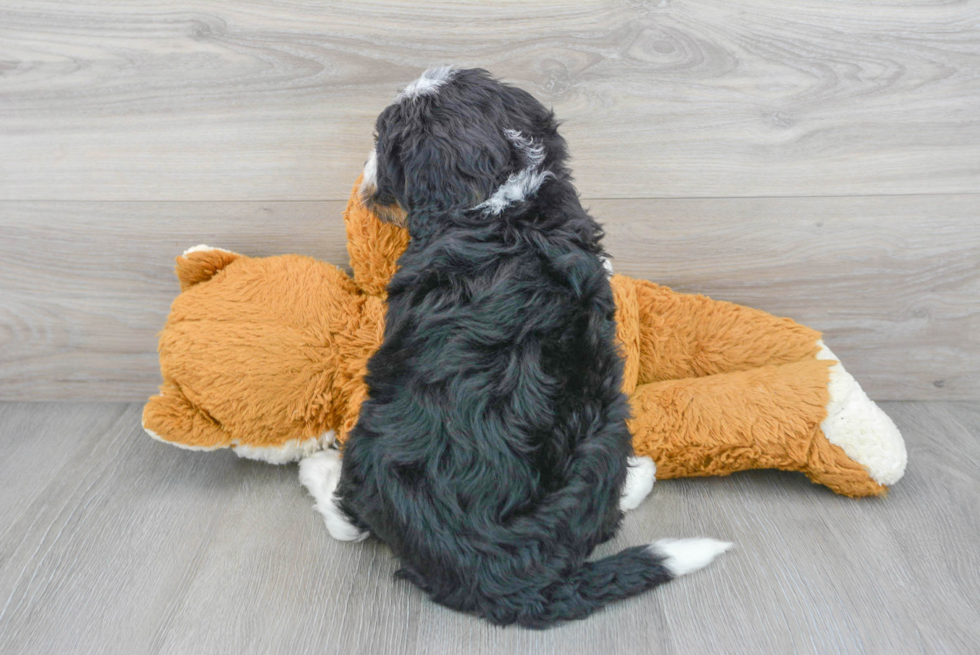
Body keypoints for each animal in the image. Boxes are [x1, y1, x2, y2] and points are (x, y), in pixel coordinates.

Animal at [302, 68, 732, 632]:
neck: (506, 200)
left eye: (382, 139)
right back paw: (639, 477)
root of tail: (499, 564)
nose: (367, 179)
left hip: (373, 447)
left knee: (351, 520)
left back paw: (318, 471)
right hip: (609, 418)